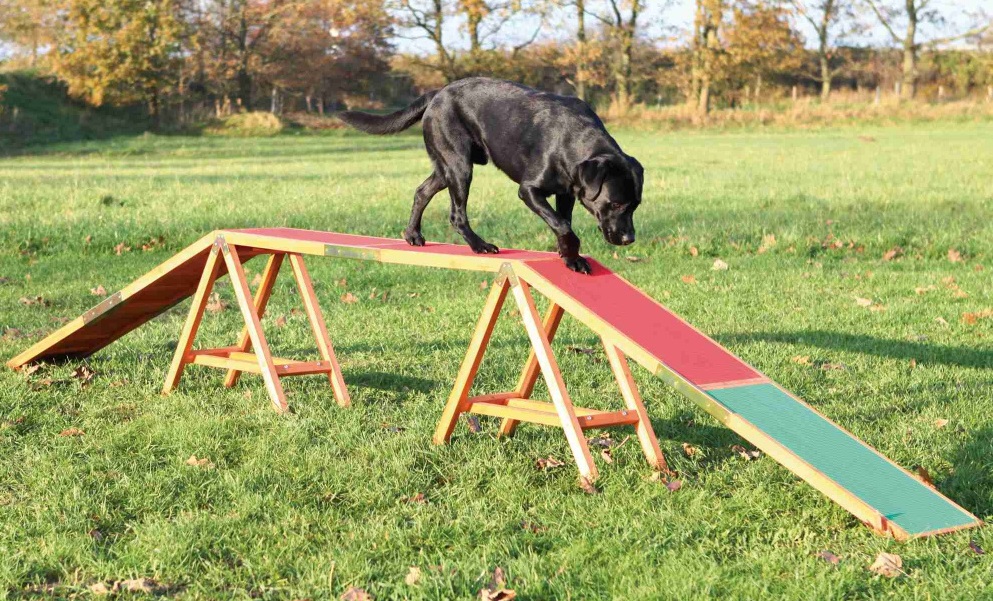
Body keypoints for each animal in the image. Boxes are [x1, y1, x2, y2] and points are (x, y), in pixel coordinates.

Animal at [336, 76, 644, 274]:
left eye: (635, 206)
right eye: (616, 203)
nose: (629, 239)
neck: (574, 140)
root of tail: (438, 92)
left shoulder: (566, 192)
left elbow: (562, 222)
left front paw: (570, 257)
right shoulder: (529, 190)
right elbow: (562, 225)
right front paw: (572, 255)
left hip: (446, 168)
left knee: (422, 191)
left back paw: (413, 234)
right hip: (460, 167)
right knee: (456, 214)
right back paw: (479, 245)